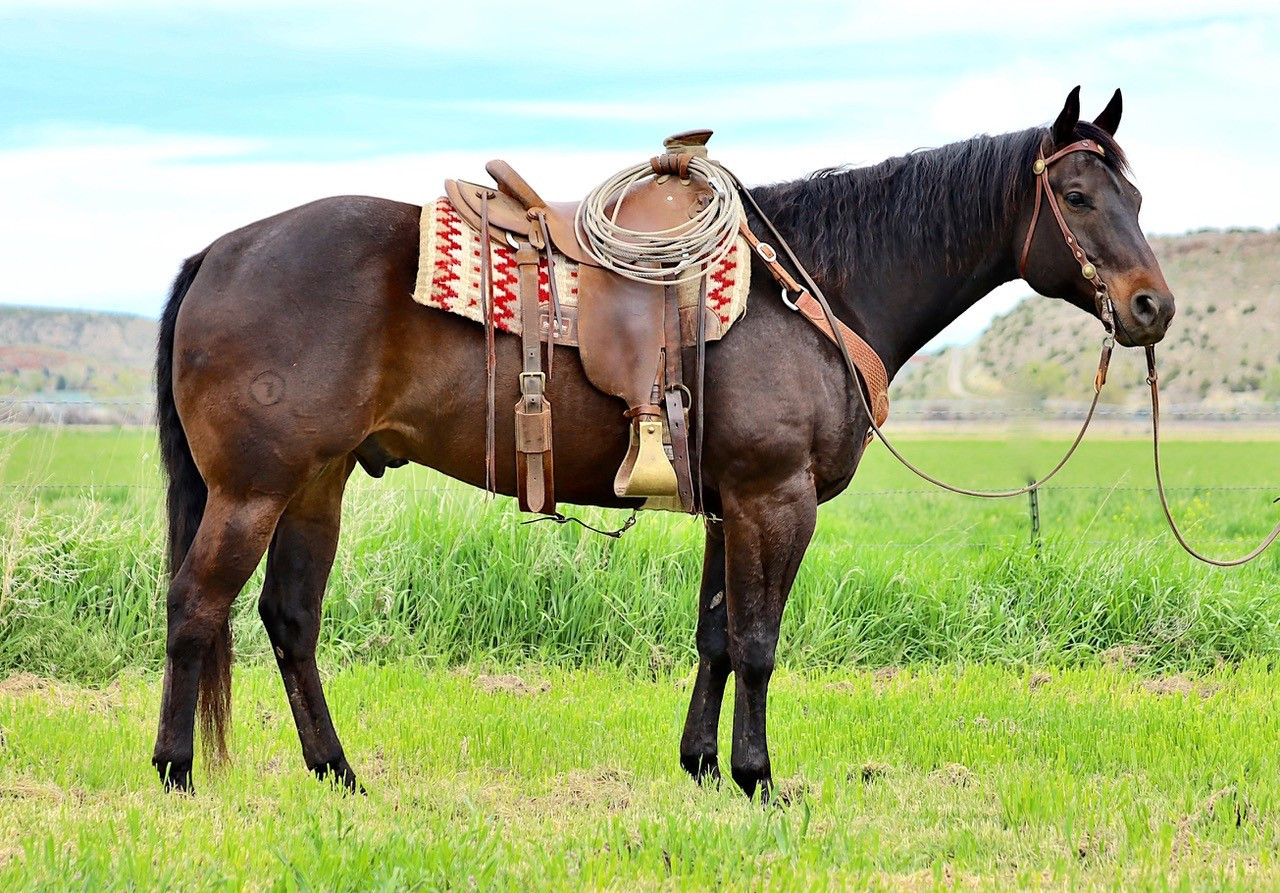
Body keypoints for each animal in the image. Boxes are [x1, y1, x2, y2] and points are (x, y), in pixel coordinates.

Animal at [147, 86, 1172, 798]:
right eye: (1077, 194)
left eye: (1136, 192)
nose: (1151, 307)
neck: (812, 286)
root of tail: (219, 252)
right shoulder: (775, 496)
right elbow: (758, 640)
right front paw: (760, 780)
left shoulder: (731, 504)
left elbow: (715, 634)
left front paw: (703, 766)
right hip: (252, 489)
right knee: (197, 605)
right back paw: (176, 770)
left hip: (315, 484)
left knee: (290, 618)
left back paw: (339, 773)